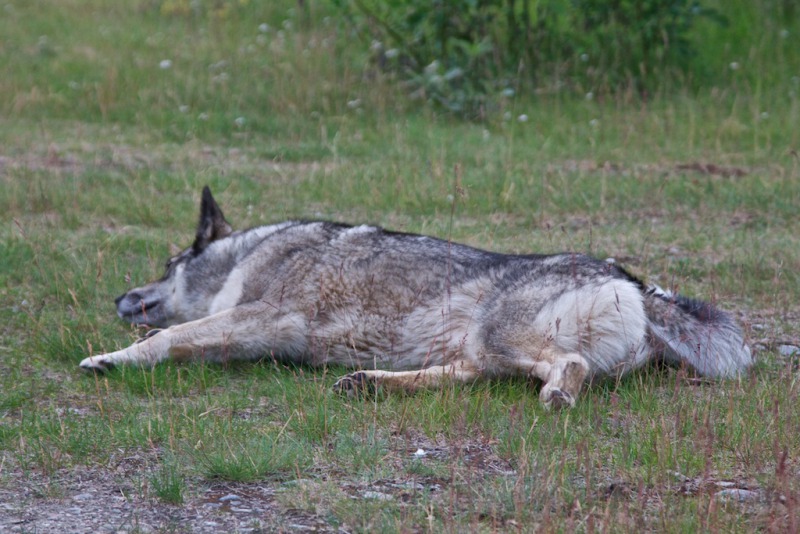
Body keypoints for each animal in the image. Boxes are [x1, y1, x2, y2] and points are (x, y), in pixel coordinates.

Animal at [78, 186, 752, 408]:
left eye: (169, 266)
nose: (118, 297)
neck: (251, 253)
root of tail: (631, 279)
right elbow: (178, 337)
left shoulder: (264, 317)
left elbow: (168, 335)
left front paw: (110, 358)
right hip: (481, 350)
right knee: (461, 379)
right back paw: (368, 384)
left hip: (499, 338)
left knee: (568, 367)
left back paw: (558, 396)